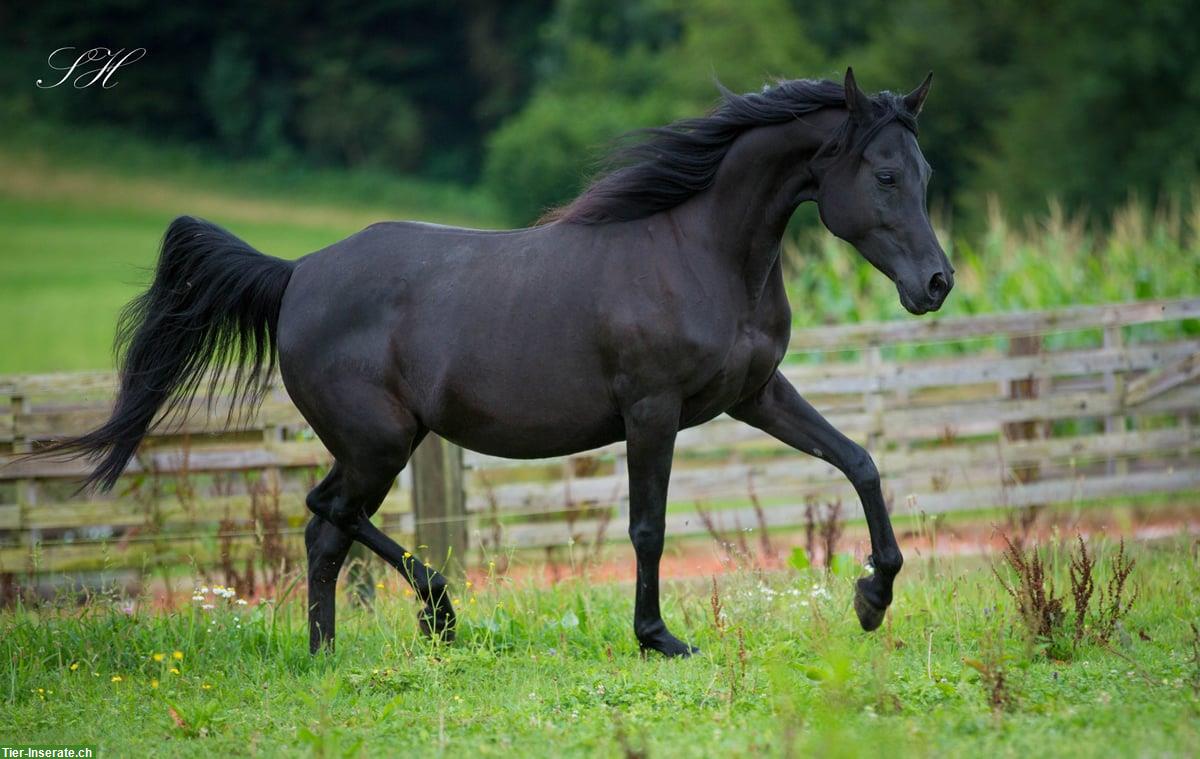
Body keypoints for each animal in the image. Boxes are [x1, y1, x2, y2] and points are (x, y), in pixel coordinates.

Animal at [46, 68, 950, 653]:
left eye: (925, 171)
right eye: (882, 173)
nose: (937, 283)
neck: (699, 251)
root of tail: (296, 273)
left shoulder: (755, 393)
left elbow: (860, 462)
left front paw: (873, 597)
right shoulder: (651, 410)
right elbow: (649, 525)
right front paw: (659, 637)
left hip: (381, 445)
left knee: (323, 530)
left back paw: (331, 652)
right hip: (379, 442)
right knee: (326, 511)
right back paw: (436, 614)